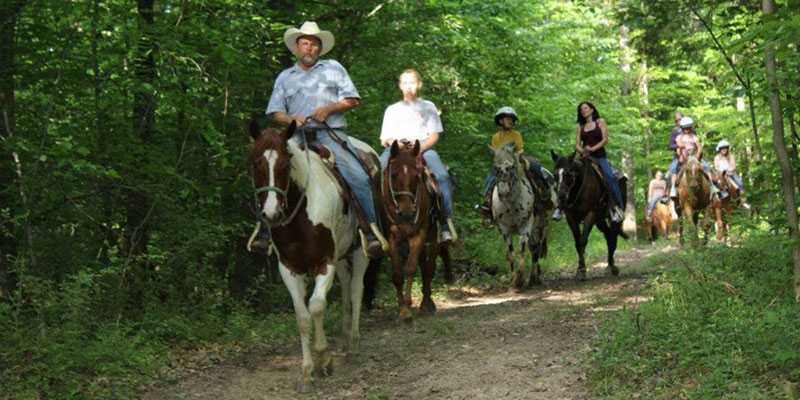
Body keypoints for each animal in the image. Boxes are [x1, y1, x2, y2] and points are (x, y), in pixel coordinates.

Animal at [250, 120, 376, 392]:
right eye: (255, 163)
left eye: (286, 163)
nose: (271, 214)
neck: (301, 215)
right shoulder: (289, 267)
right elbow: (302, 318)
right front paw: (306, 373)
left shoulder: (324, 261)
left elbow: (317, 306)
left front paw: (323, 359)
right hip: (341, 255)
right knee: (346, 282)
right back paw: (343, 339)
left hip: (359, 248)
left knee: (356, 288)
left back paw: (353, 343)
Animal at [382, 141, 450, 322]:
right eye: (393, 175)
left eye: (416, 177)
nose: (407, 212)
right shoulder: (392, 237)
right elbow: (398, 274)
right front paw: (400, 309)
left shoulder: (418, 235)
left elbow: (411, 268)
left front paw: (406, 310)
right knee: (424, 265)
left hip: (434, 237)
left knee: (430, 268)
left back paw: (426, 303)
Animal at [490, 142, 552, 290]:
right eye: (495, 167)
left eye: (512, 166)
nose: (503, 193)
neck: (511, 204)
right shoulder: (504, 229)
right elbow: (511, 254)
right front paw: (513, 280)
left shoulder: (526, 226)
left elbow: (521, 250)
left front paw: (519, 279)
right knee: (533, 248)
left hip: (542, 226)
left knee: (536, 250)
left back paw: (534, 279)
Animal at [552, 150, 628, 282]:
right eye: (555, 174)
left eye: (569, 173)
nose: (561, 197)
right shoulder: (571, 218)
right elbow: (577, 243)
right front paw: (580, 269)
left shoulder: (590, 215)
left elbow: (582, 240)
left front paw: (582, 271)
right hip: (600, 221)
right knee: (608, 236)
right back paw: (609, 265)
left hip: (612, 217)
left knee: (613, 236)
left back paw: (613, 267)